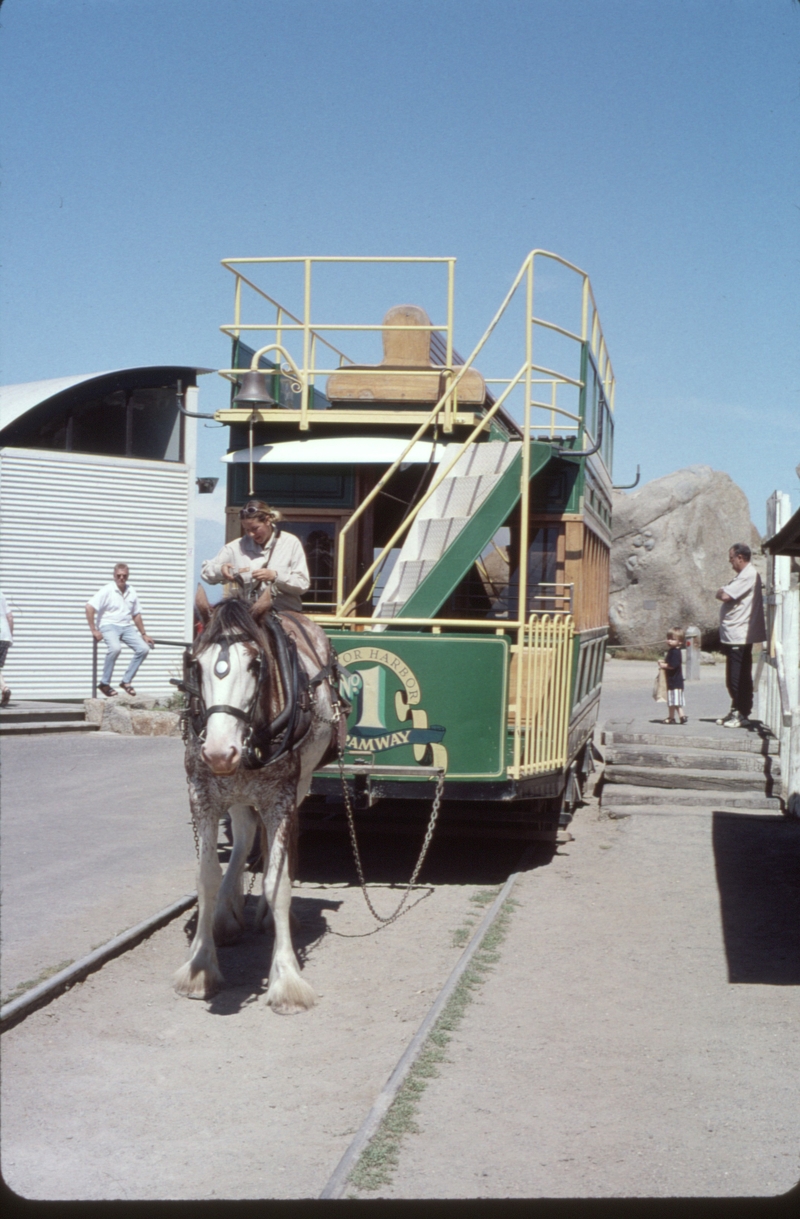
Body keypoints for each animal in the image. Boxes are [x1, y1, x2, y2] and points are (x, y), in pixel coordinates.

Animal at [173, 585, 346, 1014]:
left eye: (255, 663)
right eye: (196, 663)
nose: (220, 751)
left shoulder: (279, 796)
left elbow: (277, 882)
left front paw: (286, 979)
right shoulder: (202, 794)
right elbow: (206, 876)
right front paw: (201, 965)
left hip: (298, 783)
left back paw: (266, 917)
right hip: (234, 789)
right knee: (245, 834)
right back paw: (226, 914)